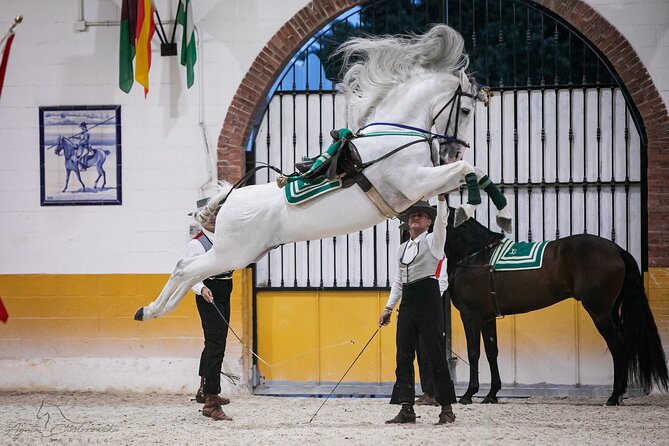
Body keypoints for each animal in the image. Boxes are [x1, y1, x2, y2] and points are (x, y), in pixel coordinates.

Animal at [134, 25, 512, 320]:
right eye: (465, 110)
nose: (453, 149)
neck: (395, 132)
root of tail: (229, 198)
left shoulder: (420, 187)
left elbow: (470, 175)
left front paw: (486, 213)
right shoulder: (413, 180)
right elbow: (469, 169)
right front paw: (480, 211)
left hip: (241, 254)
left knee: (188, 272)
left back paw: (155, 310)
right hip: (232, 253)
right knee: (184, 268)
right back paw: (152, 310)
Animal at [444, 209, 668, 404]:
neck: (475, 256)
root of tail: (617, 250)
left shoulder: (470, 315)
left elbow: (474, 352)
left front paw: (468, 395)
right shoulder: (487, 317)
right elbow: (492, 352)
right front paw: (491, 395)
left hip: (599, 312)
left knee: (617, 345)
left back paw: (614, 397)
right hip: (610, 311)